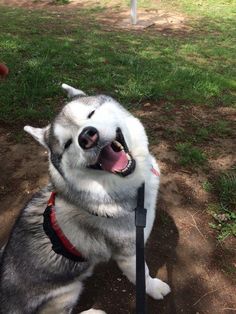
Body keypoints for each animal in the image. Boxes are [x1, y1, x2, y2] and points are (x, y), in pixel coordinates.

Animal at [0, 84, 171, 314]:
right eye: (67, 144)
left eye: (90, 114)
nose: (88, 137)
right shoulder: (129, 253)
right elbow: (142, 274)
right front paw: (154, 287)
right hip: (67, 292)